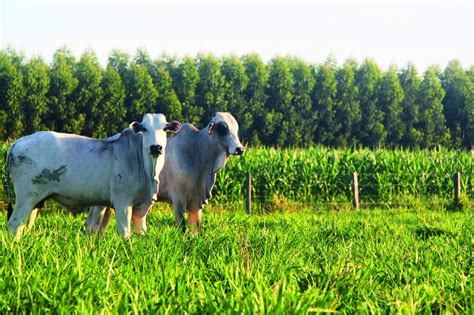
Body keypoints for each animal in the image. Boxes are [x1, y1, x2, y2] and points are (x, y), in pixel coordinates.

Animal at [5, 113, 181, 239]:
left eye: (165, 129)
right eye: (144, 129)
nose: (156, 147)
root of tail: (17, 142)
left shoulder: (139, 206)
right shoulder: (122, 202)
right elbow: (125, 233)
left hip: (36, 202)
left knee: (24, 225)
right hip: (26, 198)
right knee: (14, 224)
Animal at [84, 113, 244, 235]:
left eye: (236, 129)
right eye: (223, 128)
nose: (240, 149)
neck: (198, 153)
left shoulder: (197, 202)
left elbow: (195, 228)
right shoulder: (178, 198)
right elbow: (182, 226)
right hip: (99, 201)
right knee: (92, 223)